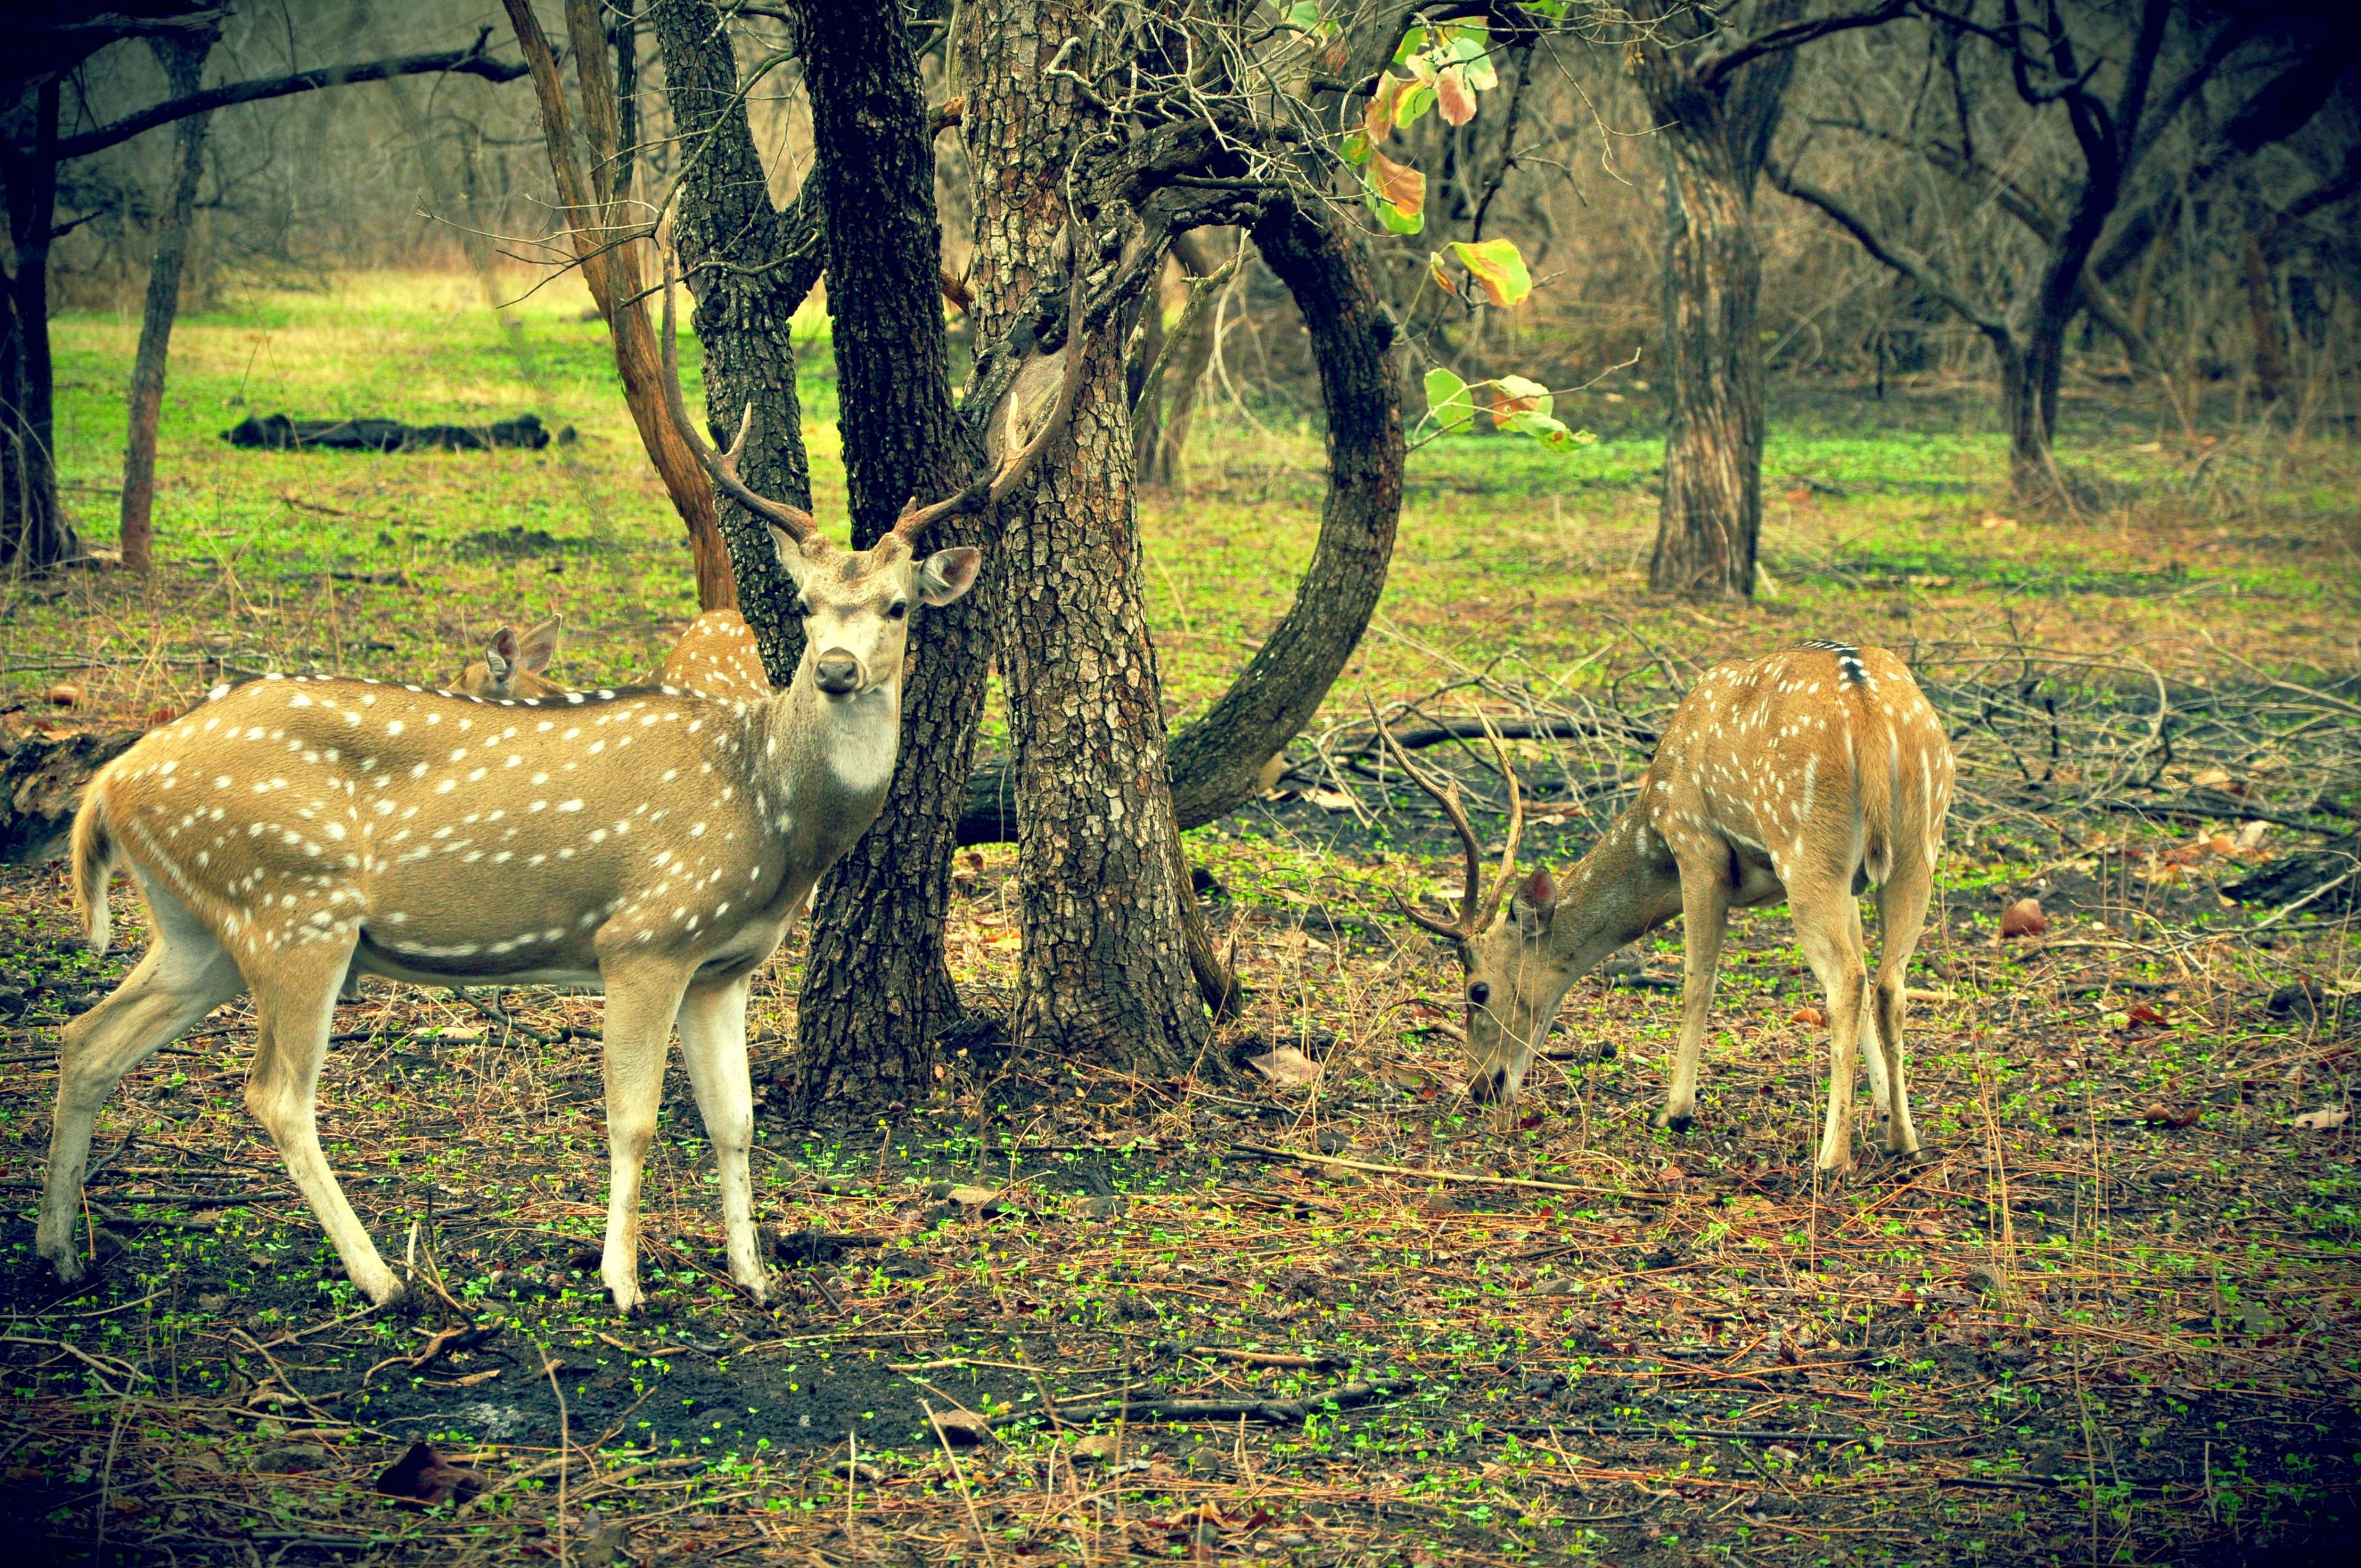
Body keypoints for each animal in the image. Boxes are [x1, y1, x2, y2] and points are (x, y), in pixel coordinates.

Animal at [38, 273, 1083, 1312]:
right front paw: (623, 1280)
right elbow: (635, 1119)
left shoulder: (724, 965)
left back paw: (60, 1253)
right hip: (293, 906)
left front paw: (753, 1273)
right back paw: (383, 1277)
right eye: (803, 604)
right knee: (275, 1092)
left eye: (898, 607)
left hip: (203, 924)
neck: (770, 822)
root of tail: (112, 781)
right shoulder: (644, 937)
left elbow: (736, 1121)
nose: (833, 669)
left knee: (86, 1036)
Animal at [1381, 642, 1954, 1172]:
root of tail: (1872, 719)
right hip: (1917, 846)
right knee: (1887, 983)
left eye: (1478, 990)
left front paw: (1674, 1111)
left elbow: (1698, 980)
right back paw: (1905, 1140)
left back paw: (1831, 1157)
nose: (1482, 1085)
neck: (1651, 826)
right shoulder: (1853, 889)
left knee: (1847, 981)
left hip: (1805, 846)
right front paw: (1886, 1114)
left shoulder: (1695, 845)